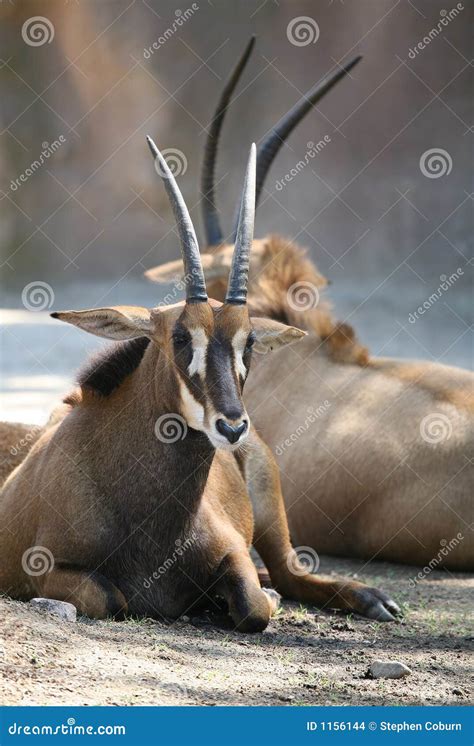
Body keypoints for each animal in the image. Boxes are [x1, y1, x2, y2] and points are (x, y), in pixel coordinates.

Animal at [0, 138, 401, 627]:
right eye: (179, 337)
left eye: (249, 342)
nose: (231, 426)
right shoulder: (45, 567)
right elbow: (110, 597)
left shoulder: (234, 551)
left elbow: (253, 606)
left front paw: (248, 600)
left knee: (290, 575)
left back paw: (372, 599)